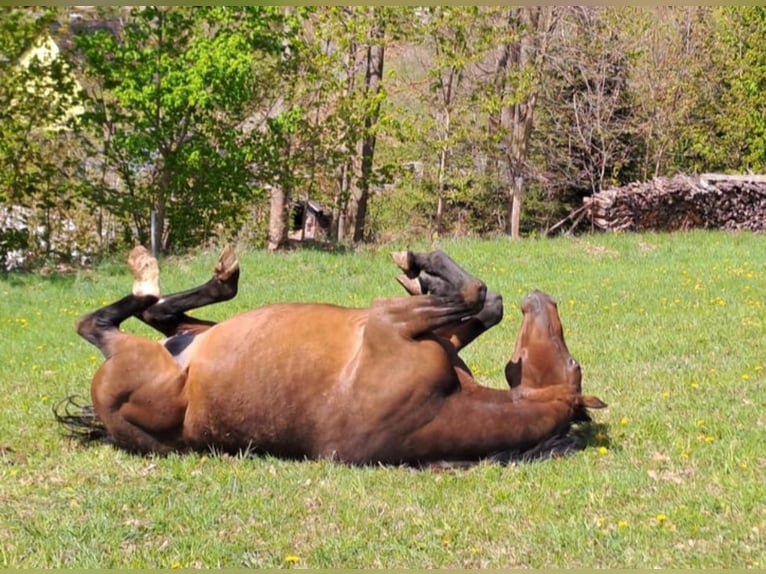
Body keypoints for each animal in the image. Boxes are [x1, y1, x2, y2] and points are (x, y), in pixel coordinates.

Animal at [58, 245, 608, 466]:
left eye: (573, 364)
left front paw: (420, 264)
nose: (543, 298)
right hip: (189, 333)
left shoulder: (388, 319)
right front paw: (422, 276)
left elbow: (473, 293)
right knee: (158, 312)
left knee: (103, 322)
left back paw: (150, 273)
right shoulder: (427, 332)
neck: (445, 405)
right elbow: (485, 302)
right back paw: (206, 277)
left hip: (139, 362)